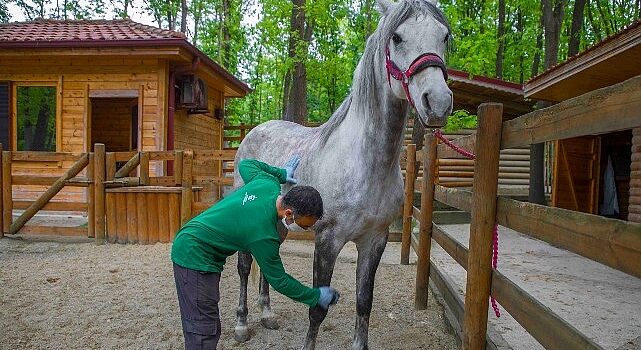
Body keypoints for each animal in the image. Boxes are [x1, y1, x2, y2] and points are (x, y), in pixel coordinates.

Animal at [231, 1, 450, 348]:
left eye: (444, 36)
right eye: (397, 37)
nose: (438, 102)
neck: (365, 164)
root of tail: (255, 132)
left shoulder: (375, 240)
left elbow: (364, 301)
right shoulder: (328, 240)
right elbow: (317, 309)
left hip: (276, 223)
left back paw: (267, 315)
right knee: (243, 266)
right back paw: (241, 324)